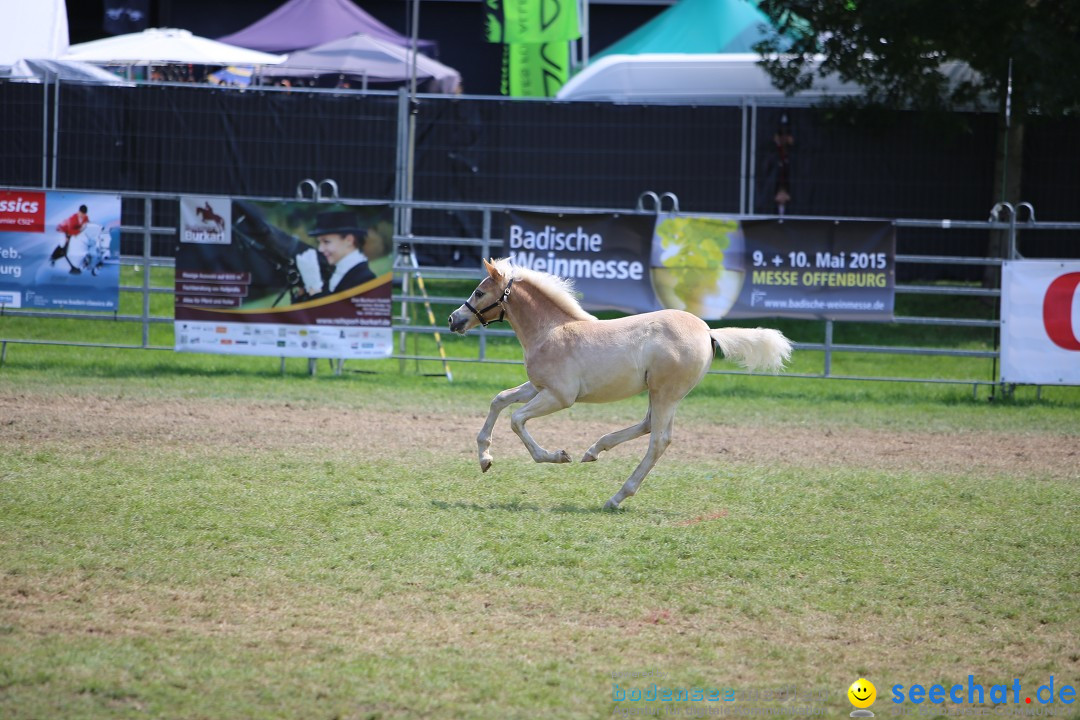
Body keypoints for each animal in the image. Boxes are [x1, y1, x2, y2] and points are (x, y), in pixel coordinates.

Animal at [447, 257, 794, 507]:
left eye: (479, 292)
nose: (453, 320)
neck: (551, 331)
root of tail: (709, 331)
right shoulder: (538, 386)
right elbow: (500, 399)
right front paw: (485, 459)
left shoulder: (560, 396)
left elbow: (517, 419)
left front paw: (558, 456)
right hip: (661, 393)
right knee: (648, 425)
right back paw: (594, 451)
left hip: (665, 392)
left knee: (659, 440)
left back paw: (616, 496)